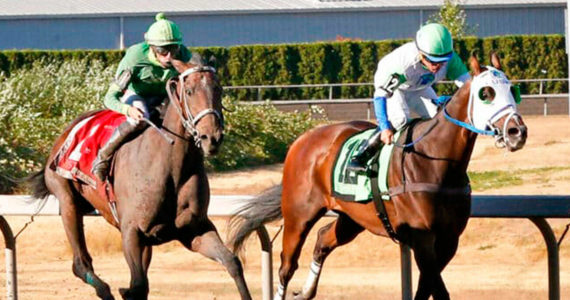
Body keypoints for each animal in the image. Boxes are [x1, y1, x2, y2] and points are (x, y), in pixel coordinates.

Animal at [25, 56, 250, 300]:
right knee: (80, 263)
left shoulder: (193, 229)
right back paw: (104, 290)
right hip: (67, 198)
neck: (170, 166)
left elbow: (232, 262)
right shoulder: (131, 232)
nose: (212, 138)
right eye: (189, 91)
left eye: (218, 89)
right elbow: (138, 285)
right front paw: (123, 290)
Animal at [229, 52, 524, 298]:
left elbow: (425, 289)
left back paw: (306, 292)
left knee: (323, 239)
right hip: (298, 216)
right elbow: (437, 291)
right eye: (486, 93)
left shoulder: (449, 239)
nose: (517, 132)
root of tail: (303, 138)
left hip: (353, 217)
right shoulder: (423, 238)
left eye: (512, 89)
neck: (437, 163)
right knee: (286, 266)